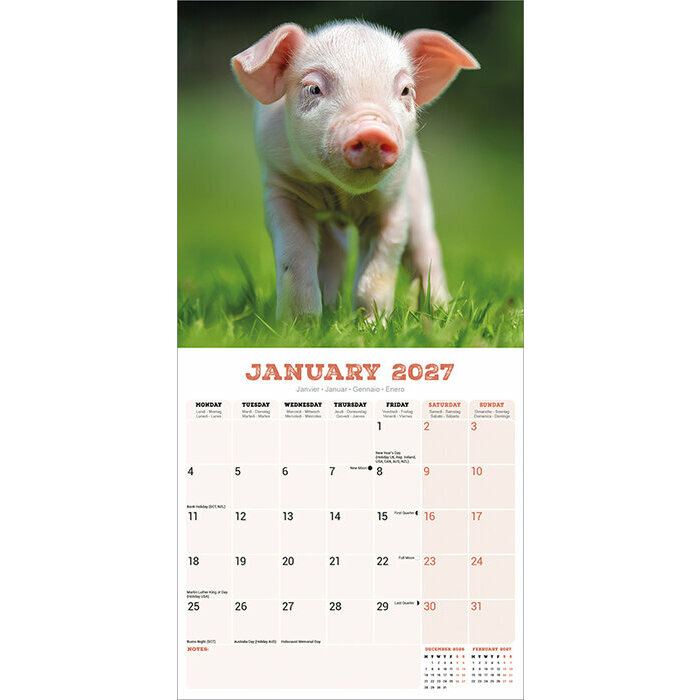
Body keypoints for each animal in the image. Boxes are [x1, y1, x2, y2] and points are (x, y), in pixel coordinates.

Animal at [231, 20, 479, 321]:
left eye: (406, 90)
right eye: (313, 89)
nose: (372, 130)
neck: (342, 196)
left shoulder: (394, 203)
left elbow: (378, 272)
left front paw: (371, 325)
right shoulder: (282, 190)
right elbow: (294, 255)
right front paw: (299, 324)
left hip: (420, 192)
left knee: (425, 248)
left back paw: (444, 313)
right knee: (335, 250)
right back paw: (328, 308)